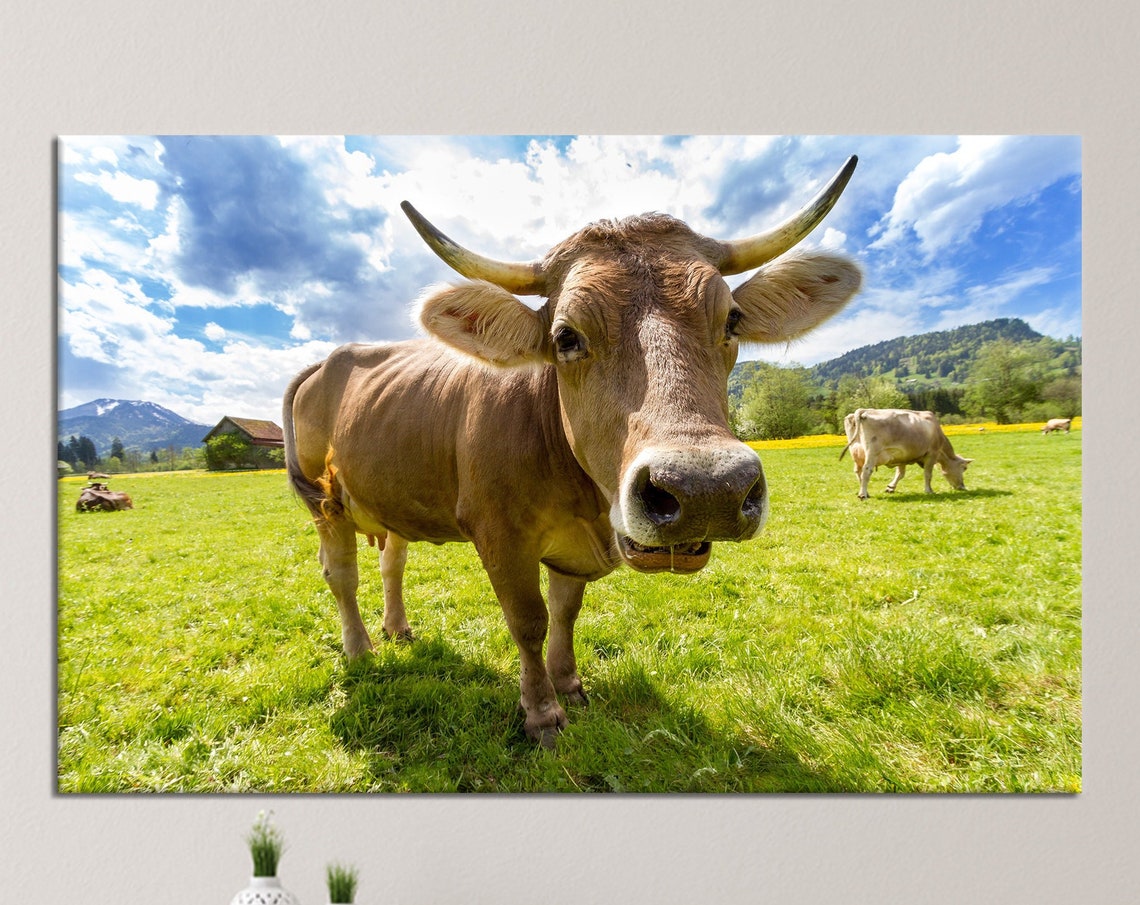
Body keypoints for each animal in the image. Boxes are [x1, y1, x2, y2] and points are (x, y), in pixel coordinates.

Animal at [284, 157, 863, 745]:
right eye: (565, 336)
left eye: (732, 320)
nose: (706, 489)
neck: (584, 502)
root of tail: (331, 358)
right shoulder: (499, 534)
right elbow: (529, 621)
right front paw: (542, 712)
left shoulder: (571, 551)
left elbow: (565, 613)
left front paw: (569, 686)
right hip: (325, 502)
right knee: (341, 575)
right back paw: (360, 650)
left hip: (389, 496)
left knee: (391, 562)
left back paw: (398, 628)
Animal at [840, 408, 972, 500]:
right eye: (964, 468)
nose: (962, 487)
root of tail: (864, 410)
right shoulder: (931, 454)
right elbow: (928, 474)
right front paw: (929, 490)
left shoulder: (901, 456)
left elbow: (900, 474)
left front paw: (890, 487)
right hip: (872, 453)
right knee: (866, 471)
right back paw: (863, 494)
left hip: (857, 453)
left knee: (858, 472)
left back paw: (865, 492)